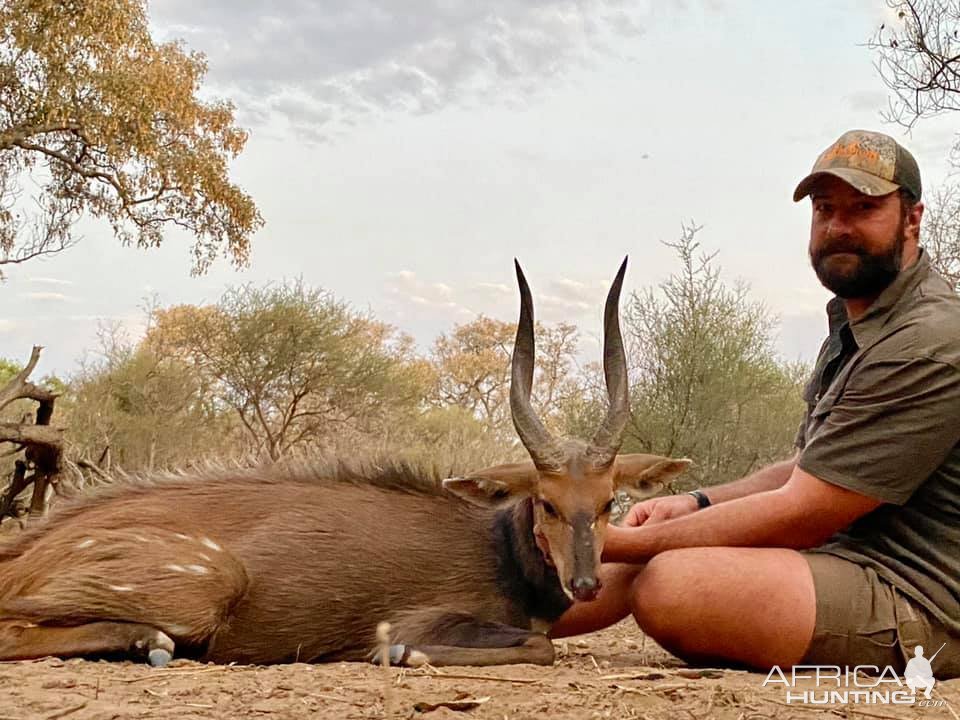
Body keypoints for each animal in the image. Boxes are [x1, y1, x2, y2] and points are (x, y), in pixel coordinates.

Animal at [0, 262, 688, 668]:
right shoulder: (421, 619)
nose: (586, 583)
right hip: (205, 583)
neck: (502, 553)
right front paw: (402, 657)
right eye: (546, 502)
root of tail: (28, 552)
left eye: (608, 502)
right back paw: (151, 642)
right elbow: (536, 646)